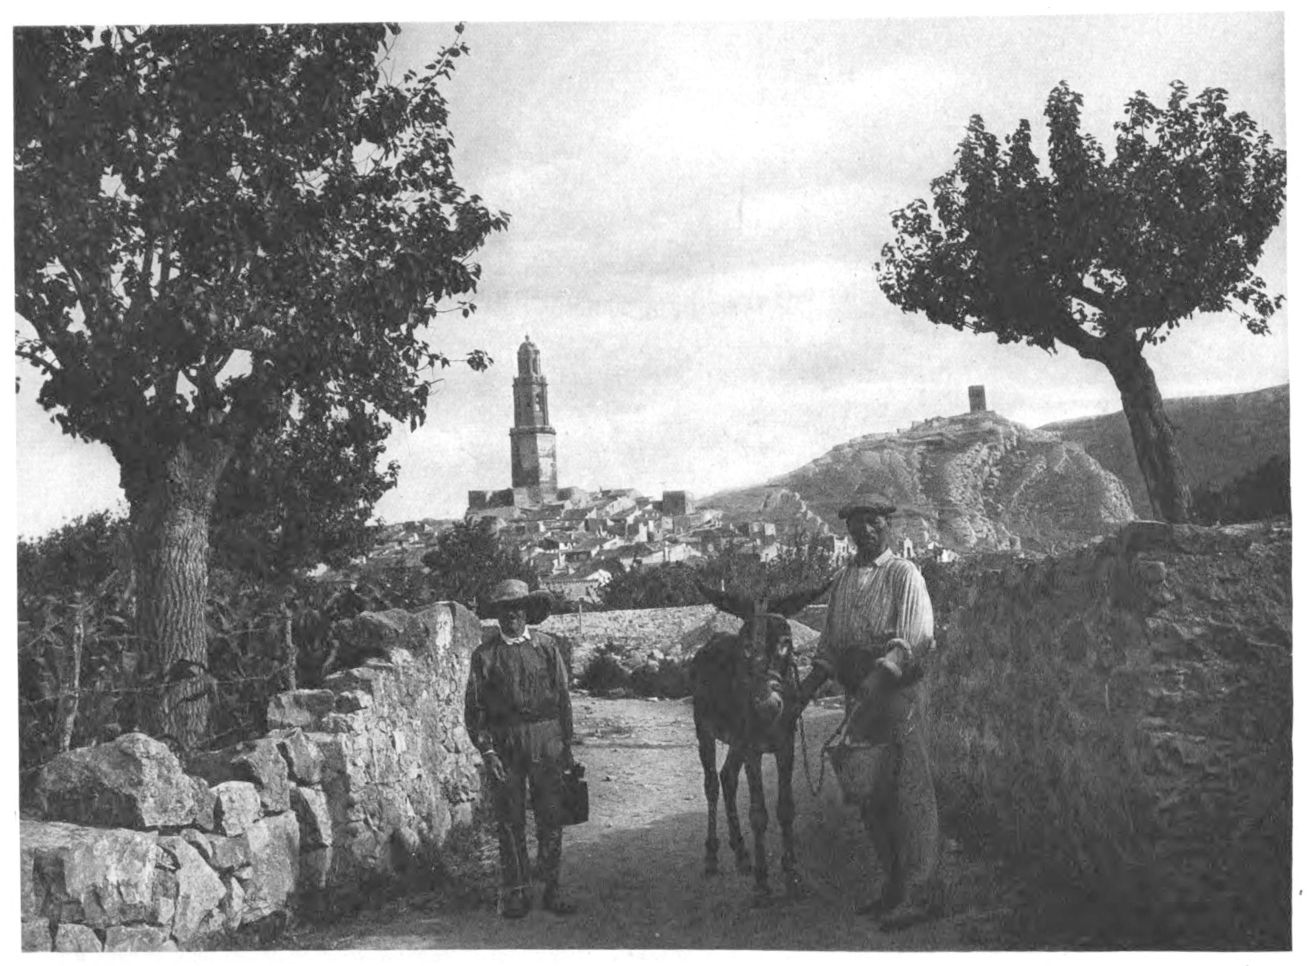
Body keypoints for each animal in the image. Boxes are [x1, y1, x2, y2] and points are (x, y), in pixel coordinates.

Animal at [690, 579, 831, 905]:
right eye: (745, 647)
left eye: (786, 642)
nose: (767, 705)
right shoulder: (752, 748)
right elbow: (758, 813)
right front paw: (763, 883)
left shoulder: (786, 745)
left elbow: (785, 808)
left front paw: (792, 875)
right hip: (705, 728)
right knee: (712, 785)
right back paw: (713, 858)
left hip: (737, 741)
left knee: (728, 777)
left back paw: (742, 854)